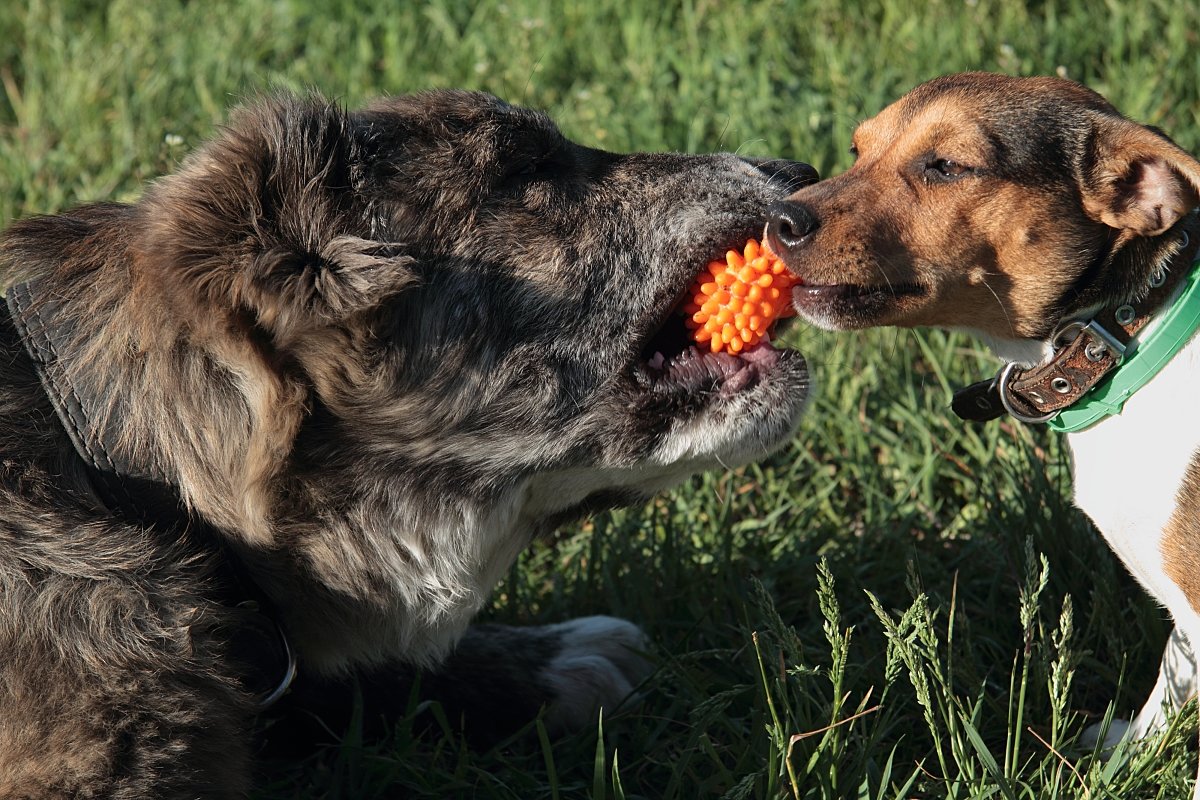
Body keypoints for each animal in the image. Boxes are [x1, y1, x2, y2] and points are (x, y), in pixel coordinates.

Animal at [768, 73, 1200, 796]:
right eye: (857, 149)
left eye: (946, 166)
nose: (777, 221)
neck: (1128, 335)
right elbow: (1170, 680)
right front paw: (1127, 754)